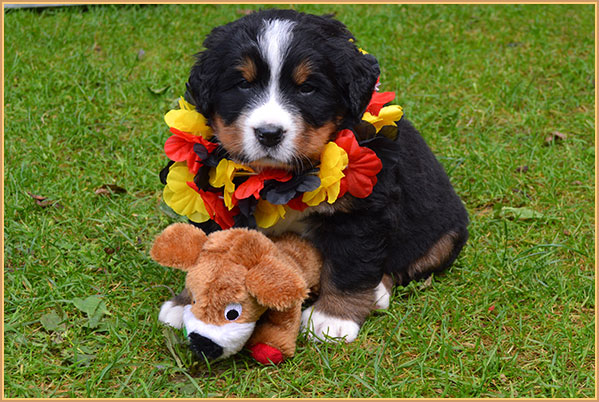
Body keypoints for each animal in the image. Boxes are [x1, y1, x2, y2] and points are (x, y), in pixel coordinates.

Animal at [158, 9, 469, 343]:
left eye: (307, 88)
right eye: (243, 84)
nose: (269, 134)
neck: (284, 179)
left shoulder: (361, 212)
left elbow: (350, 265)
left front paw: (332, 319)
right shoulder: (219, 204)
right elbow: (209, 254)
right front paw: (186, 302)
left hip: (446, 234)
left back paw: (377, 293)